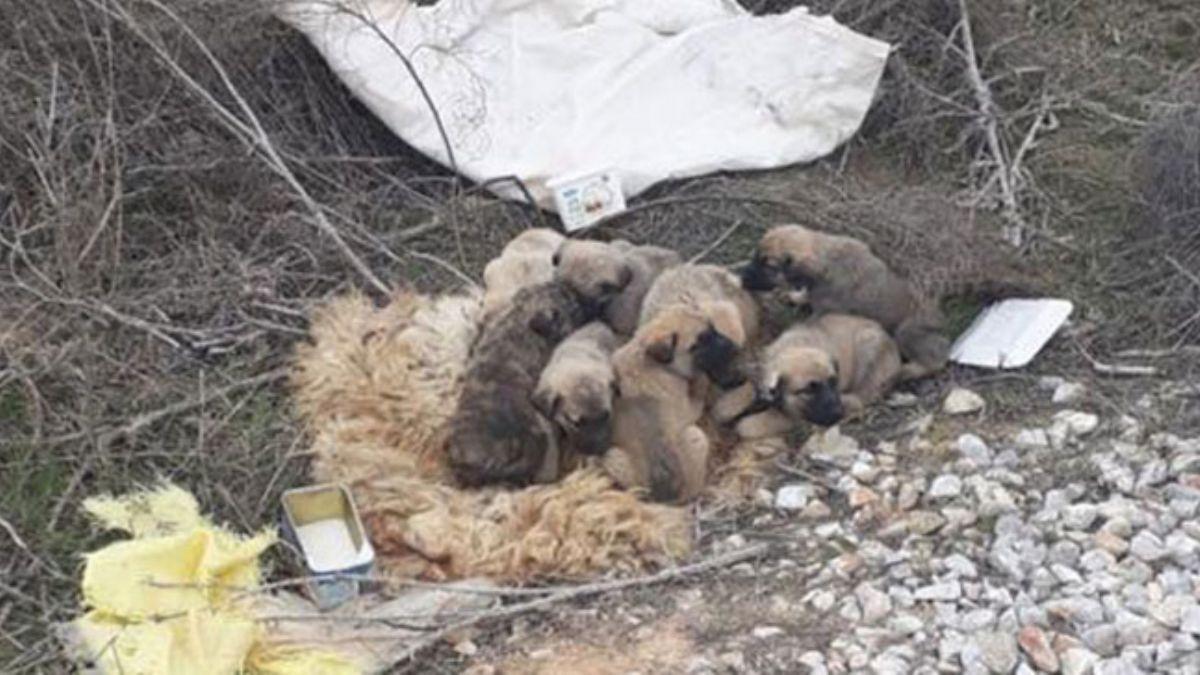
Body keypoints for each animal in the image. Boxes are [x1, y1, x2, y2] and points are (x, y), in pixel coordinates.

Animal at [739, 224, 945, 379]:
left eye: (768, 265)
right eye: (756, 256)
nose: (741, 277)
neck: (825, 261)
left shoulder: (822, 313)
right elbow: (807, 295)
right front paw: (796, 296)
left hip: (905, 332)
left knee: (936, 361)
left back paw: (907, 371)